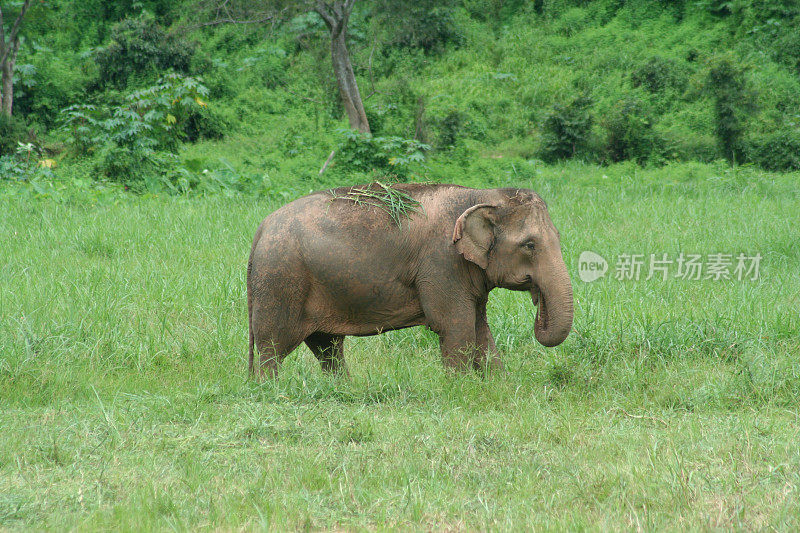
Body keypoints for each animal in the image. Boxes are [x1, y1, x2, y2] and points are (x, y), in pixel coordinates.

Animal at [247, 184, 572, 378]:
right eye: (529, 245)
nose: (537, 300)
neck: (482, 195)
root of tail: (261, 228)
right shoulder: (442, 263)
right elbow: (455, 325)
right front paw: (460, 387)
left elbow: (479, 326)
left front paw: (497, 384)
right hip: (280, 279)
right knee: (273, 346)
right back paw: (270, 390)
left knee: (326, 346)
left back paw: (344, 388)